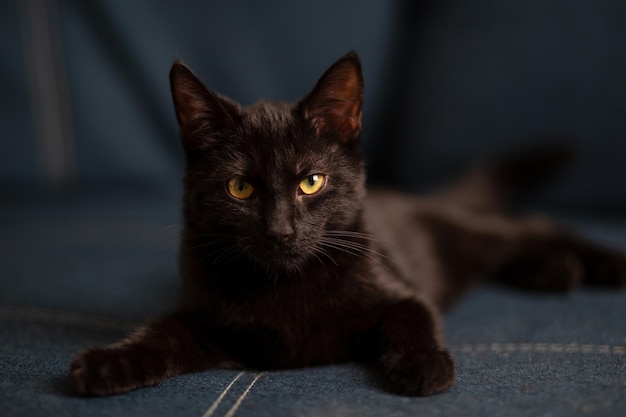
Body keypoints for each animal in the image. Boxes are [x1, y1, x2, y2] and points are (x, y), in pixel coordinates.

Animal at [69, 52, 624, 396]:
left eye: (311, 182)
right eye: (240, 188)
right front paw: (107, 362)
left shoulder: (397, 287)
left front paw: (422, 365)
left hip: (460, 231)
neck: (285, 287)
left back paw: (600, 264)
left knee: (531, 225)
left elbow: (411, 316)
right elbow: (162, 332)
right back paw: (555, 271)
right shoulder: (211, 321)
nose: (281, 231)